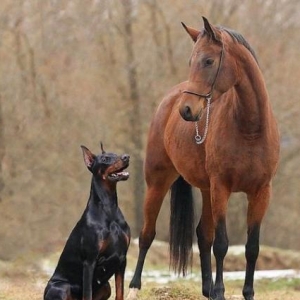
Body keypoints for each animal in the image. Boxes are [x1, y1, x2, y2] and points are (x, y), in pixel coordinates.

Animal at [44, 144, 131, 298]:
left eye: (116, 154)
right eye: (105, 159)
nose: (126, 157)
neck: (109, 209)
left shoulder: (122, 259)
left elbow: (120, 292)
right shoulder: (89, 261)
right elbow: (87, 293)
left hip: (106, 286)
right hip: (62, 286)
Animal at [126, 17, 278, 300]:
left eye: (208, 61)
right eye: (191, 61)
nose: (186, 110)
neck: (250, 129)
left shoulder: (261, 192)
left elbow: (251, 247)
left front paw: (246, 293)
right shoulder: (222, 188)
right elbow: (222, 244)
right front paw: (220, 291)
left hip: (207, 191)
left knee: (202, 234)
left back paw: (206, 289)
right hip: (158, 183)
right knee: (147, 234)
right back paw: (134, 287)